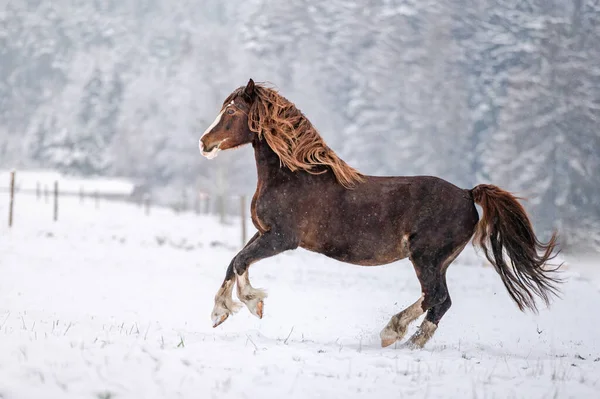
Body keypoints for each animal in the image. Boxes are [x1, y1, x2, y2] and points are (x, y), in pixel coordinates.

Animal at [198, 79, 564, 348]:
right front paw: (222, 311)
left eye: (232, 110)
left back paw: (399, 337)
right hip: (439, 261)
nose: (204, 142)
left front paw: (246, 305)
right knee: (436, 299)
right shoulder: (264, 232)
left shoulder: (282, 239)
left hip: (426, 256)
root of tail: (466, 193)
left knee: (437, 298)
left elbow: (241, 262)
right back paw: (402, 337)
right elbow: (234, 261)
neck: (294, 175)